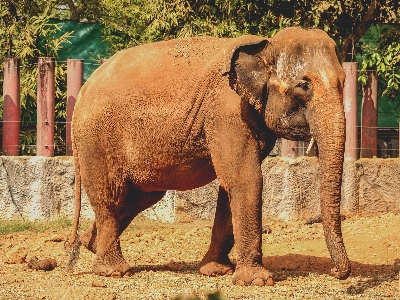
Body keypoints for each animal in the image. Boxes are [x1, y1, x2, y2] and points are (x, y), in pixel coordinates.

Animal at [67, 26, 352, 286]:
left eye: (344, 82)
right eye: (304, 86)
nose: (336, 272)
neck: (265, 46)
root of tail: (84, 90)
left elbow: (230, 184)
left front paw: (216, 271)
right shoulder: (228, 112)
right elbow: (246, 179)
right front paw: (257, 281)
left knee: (142, 197)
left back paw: (89, 243)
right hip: (97, 137)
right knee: (111, 194)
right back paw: (114, 271)